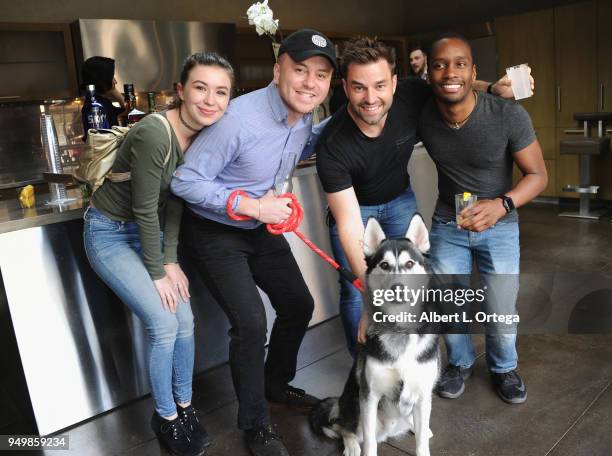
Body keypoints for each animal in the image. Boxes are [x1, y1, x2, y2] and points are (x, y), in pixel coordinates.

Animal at [310, 215, 440, 456]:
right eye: (384, 265)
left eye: (410, 264)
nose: (398, 288)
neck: (400, 330)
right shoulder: (369, 396)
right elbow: (369, 444)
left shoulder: (422, 394)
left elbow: (421, 444)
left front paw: (422, 436)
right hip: (354, 406)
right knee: (341, 426)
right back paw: (351, 444)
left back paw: (416, 426)